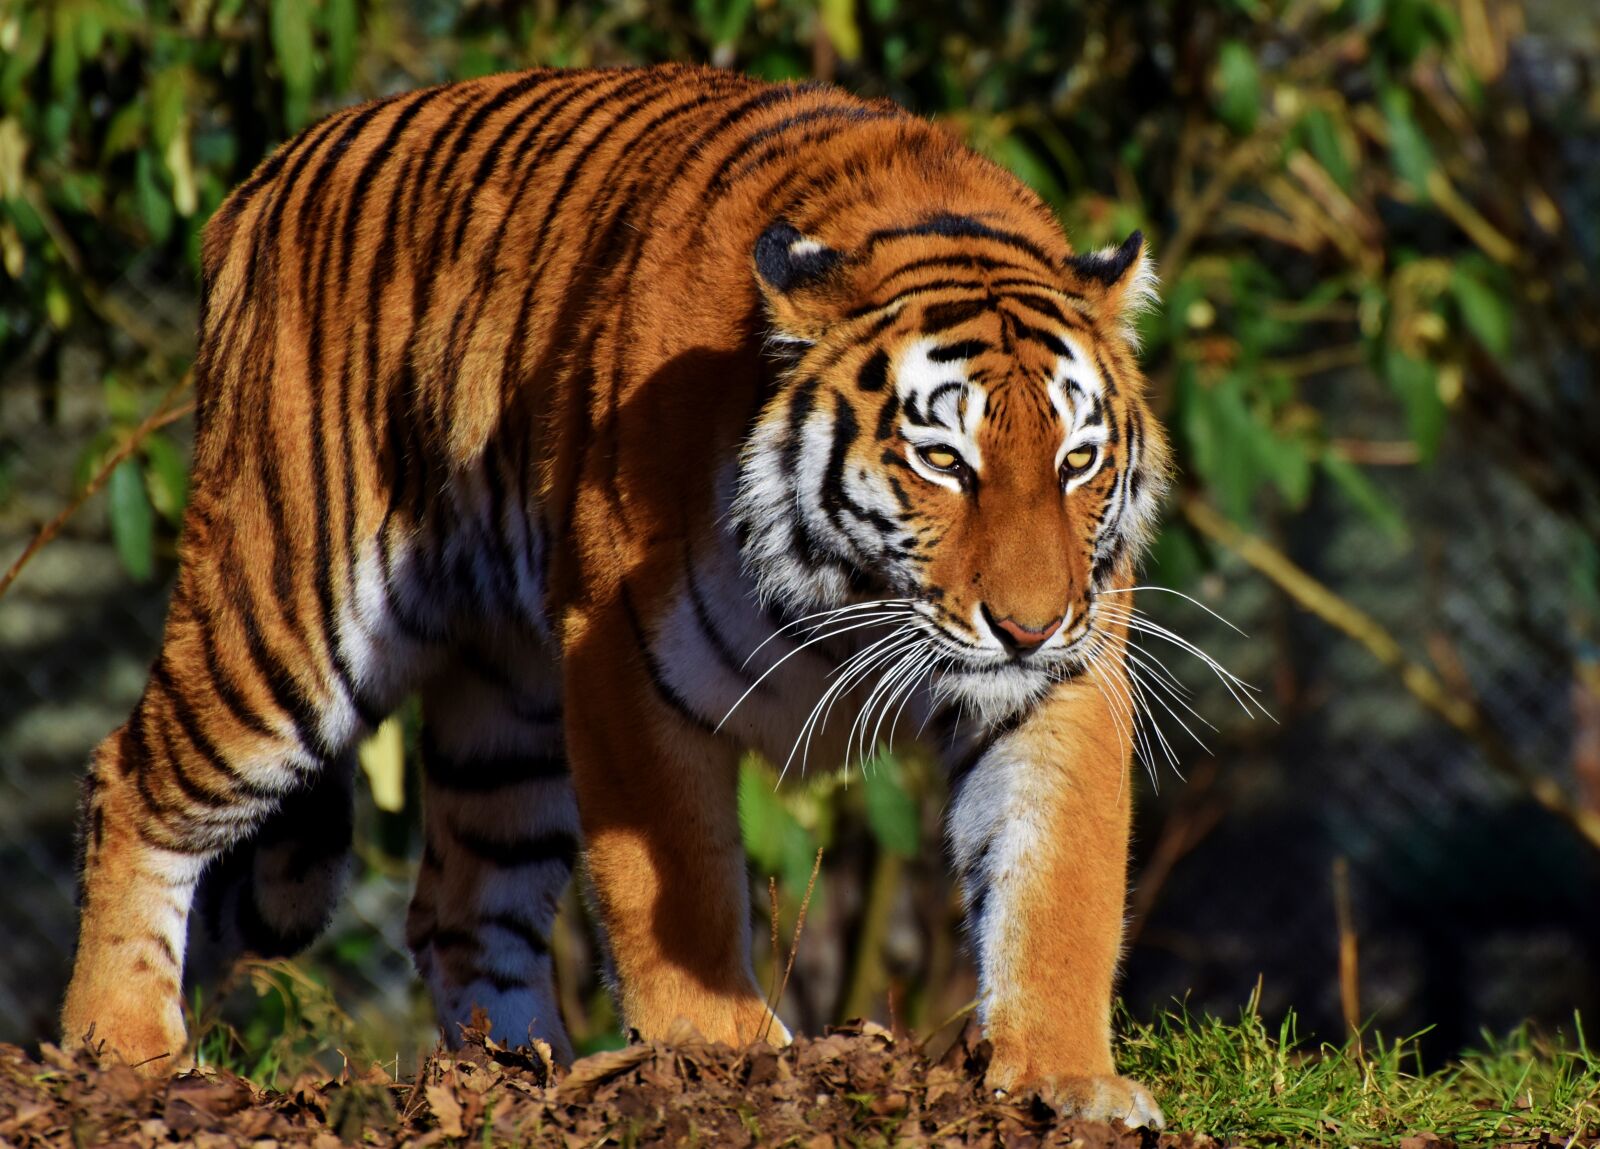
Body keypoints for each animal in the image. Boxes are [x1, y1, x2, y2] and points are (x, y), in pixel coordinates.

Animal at [61, 62, 1169, 1127]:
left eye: (1075, 462)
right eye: (943, 460)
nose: (1027, 626)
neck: (853, 596)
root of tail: (266, 177)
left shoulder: (1061, 683)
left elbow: (1057, 884)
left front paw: (1068, 1079)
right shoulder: (626, 657)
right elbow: (676, 886)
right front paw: (724, 1054)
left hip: (509, 704)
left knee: (462, 906)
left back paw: (526, 1076)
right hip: (287, 612)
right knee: (132, 777)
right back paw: (123, 1047)